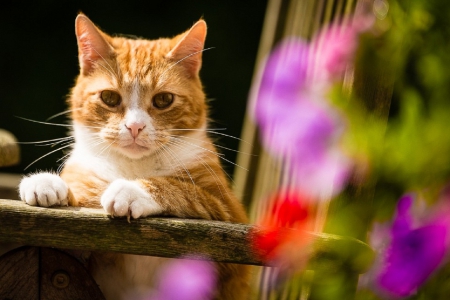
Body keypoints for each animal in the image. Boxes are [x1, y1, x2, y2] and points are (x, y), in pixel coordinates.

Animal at [19, 13, 251, 300]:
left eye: (164, 99)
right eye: (109, 97)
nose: (135, 127)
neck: (134, 167)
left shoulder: (227, 211)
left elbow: (182, 189)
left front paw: (128, 191)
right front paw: (46, 183)